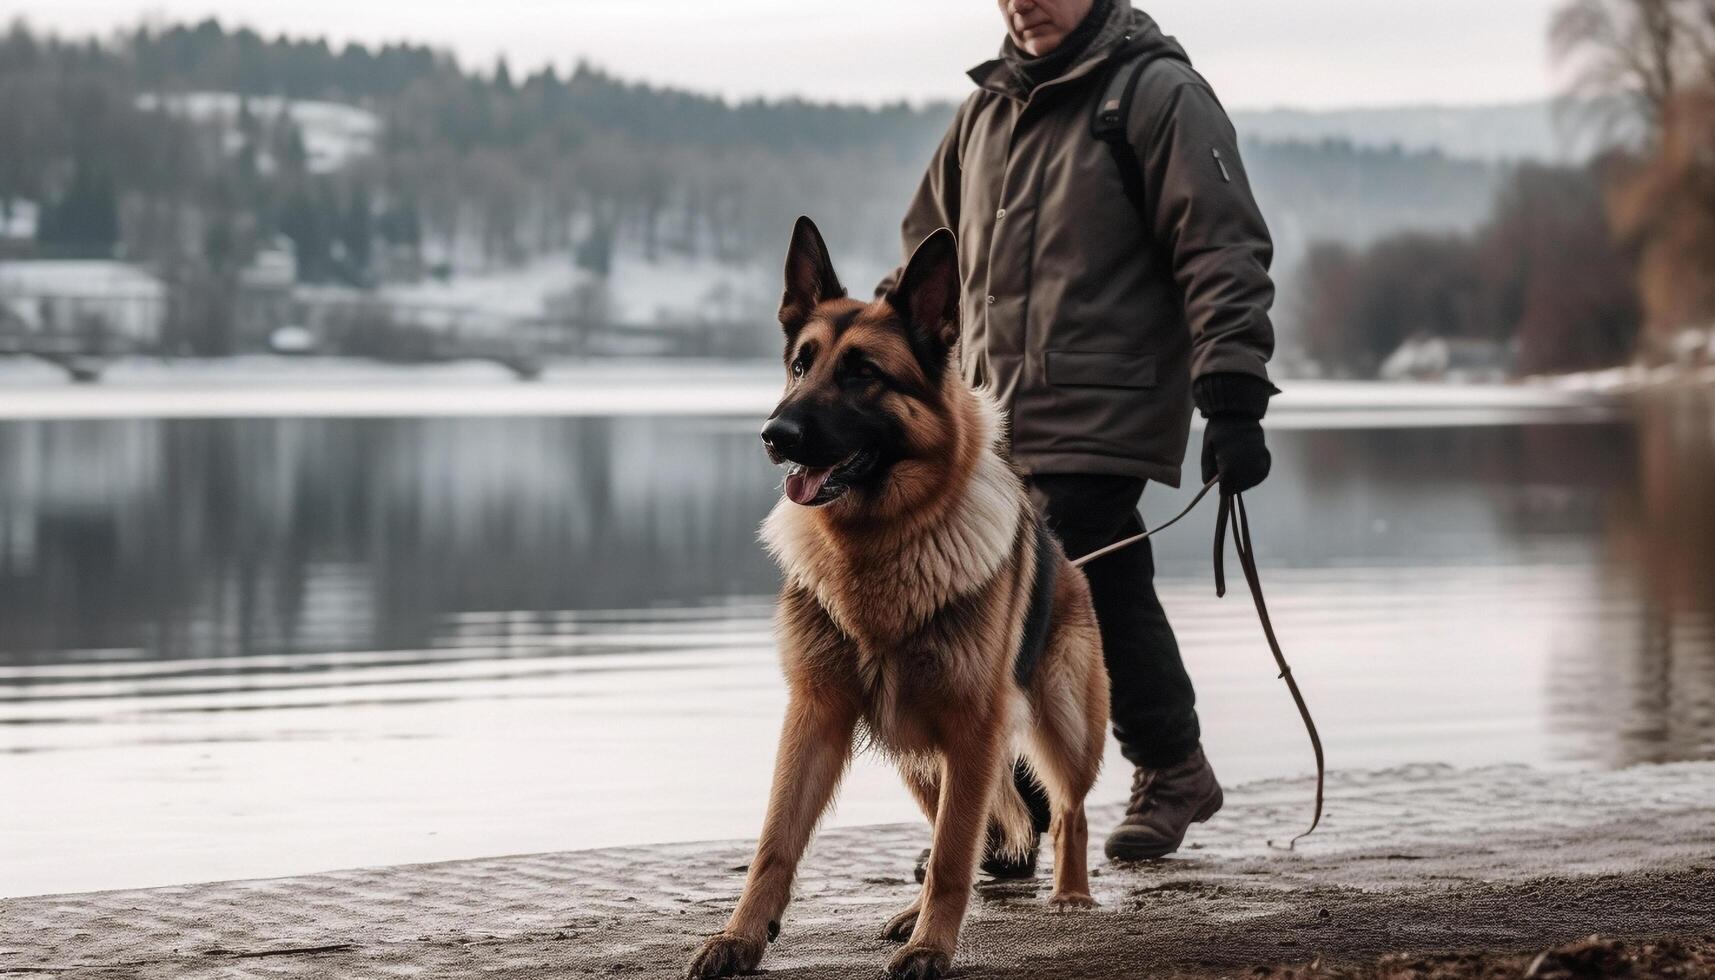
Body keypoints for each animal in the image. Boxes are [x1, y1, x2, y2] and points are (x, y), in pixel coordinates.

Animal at [686, 219, 1111, 980]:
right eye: (800, 365)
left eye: (863, 374)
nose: (774, 435)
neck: (878, 547)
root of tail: (1068, 558)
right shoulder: (815, 714)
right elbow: (774, 843)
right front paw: (741, 936)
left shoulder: (973, 727)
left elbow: (952, 855)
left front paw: (933, 948)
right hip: (923, 758)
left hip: (1060, 724)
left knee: (1065, 811)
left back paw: (1069, 894)